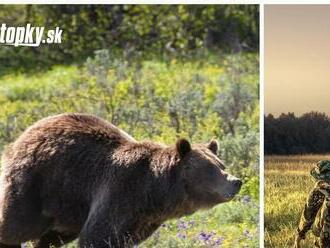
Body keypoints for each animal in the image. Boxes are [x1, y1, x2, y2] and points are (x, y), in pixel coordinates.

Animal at [0, 113, 242, 247]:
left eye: (221, 164)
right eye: (210, 168)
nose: (236, 181)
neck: (153, 193)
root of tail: (24, 134)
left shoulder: (140, 222)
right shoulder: (119, 192)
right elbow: (97, 236)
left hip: (68, 209)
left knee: (49, 238)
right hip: (36, 184)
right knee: (15, 226)